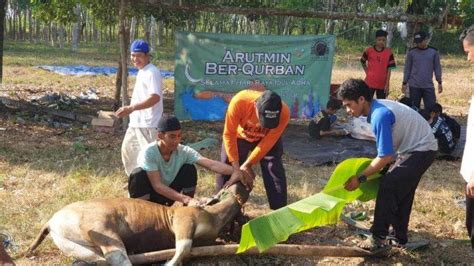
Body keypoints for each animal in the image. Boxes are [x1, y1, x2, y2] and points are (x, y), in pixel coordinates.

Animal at [24, 183, 250, 266]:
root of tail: (52, 220)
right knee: (116, 257)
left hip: (80, 247)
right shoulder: (183, 220)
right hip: (104, 230)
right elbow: (183, 248)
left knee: (102, 260)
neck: (214, 216)